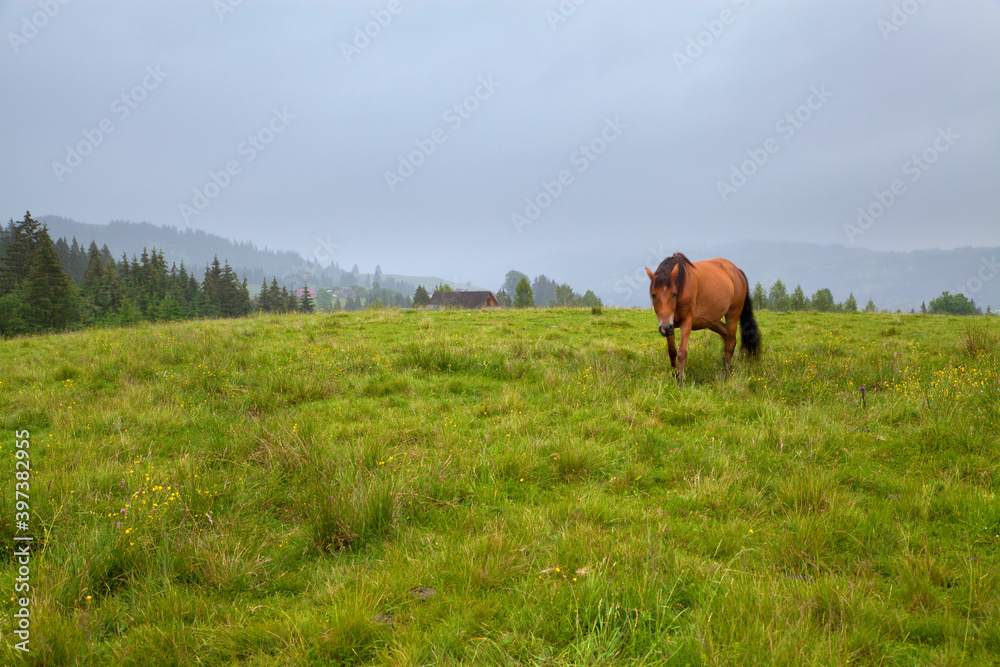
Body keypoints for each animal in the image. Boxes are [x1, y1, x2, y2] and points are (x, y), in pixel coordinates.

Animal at [645, 252, 761, 388]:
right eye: (654, 295)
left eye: (674, 293)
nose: (664, 328)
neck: (682, 285)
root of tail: (737, 271)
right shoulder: (670, 325)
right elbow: (672, 352)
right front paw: (675, 377)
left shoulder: (686, 322)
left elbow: (682, 352)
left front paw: (681, 383)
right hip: (711, 321)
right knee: (726, 337)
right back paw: (726, 368)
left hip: (733, 314)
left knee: (731, 343)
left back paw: (726, 375)